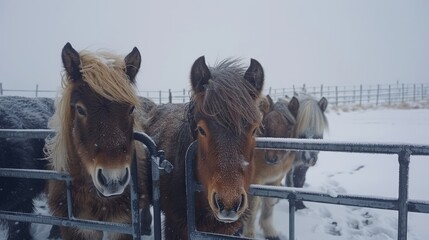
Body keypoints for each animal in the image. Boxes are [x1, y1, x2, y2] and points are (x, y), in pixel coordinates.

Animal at [242, 94, 300, 239]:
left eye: (289, 128)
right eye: (264, 126)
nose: (271, 158)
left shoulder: (274, 182)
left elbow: (268, 205)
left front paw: (269, 231)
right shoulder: (255, 182)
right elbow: (253, 206)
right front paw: (249, 233)